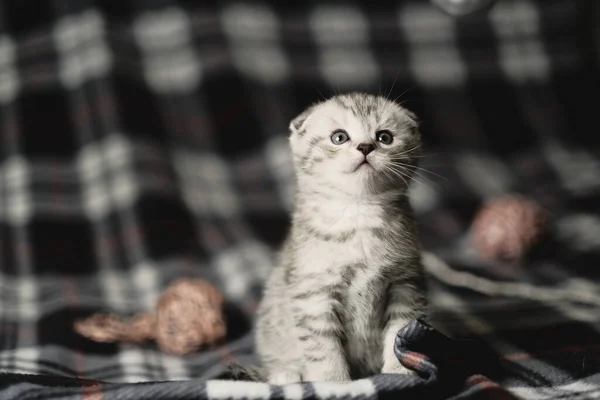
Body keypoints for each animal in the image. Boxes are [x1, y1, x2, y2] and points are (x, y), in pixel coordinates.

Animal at [253, 93, 426, 384]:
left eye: (385, 137)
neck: (358, 212)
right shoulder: (314, 293)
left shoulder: (406, 283)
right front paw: (333, 382)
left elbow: (401, 329)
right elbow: (322, 346)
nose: (366, 147)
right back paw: (286, 375)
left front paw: (399, 371)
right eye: (339, 137)